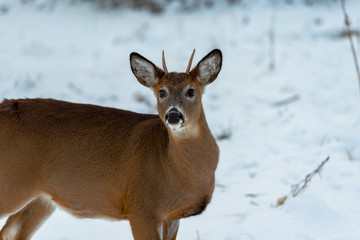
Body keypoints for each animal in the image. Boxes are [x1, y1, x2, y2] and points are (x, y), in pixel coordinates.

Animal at [0, 49, 222, 240]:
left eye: (191, 91)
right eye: (161, 92)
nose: (173, 115)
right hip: (11, 181)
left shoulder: (171, 216)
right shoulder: (140, 207)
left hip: (40, 198)